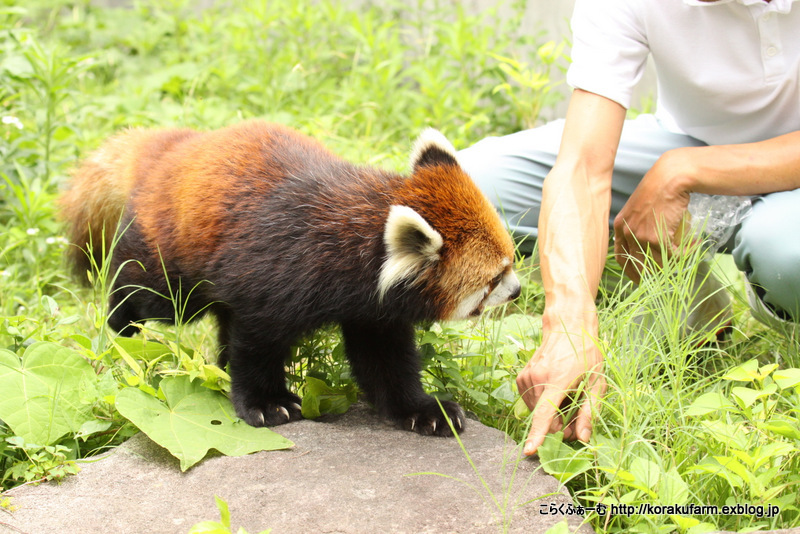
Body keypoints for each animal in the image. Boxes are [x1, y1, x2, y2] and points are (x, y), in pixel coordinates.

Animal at [64, 122, 524, 440]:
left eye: (512, 261)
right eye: (494, 278)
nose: (519, 290)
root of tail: (176, 147)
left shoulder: (373, 308)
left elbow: (386, 362)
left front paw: (423, 410)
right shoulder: (276, 273)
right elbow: (257, 344)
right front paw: (267, 404)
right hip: (174, 253)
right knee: (147, 292)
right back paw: (120, 330)